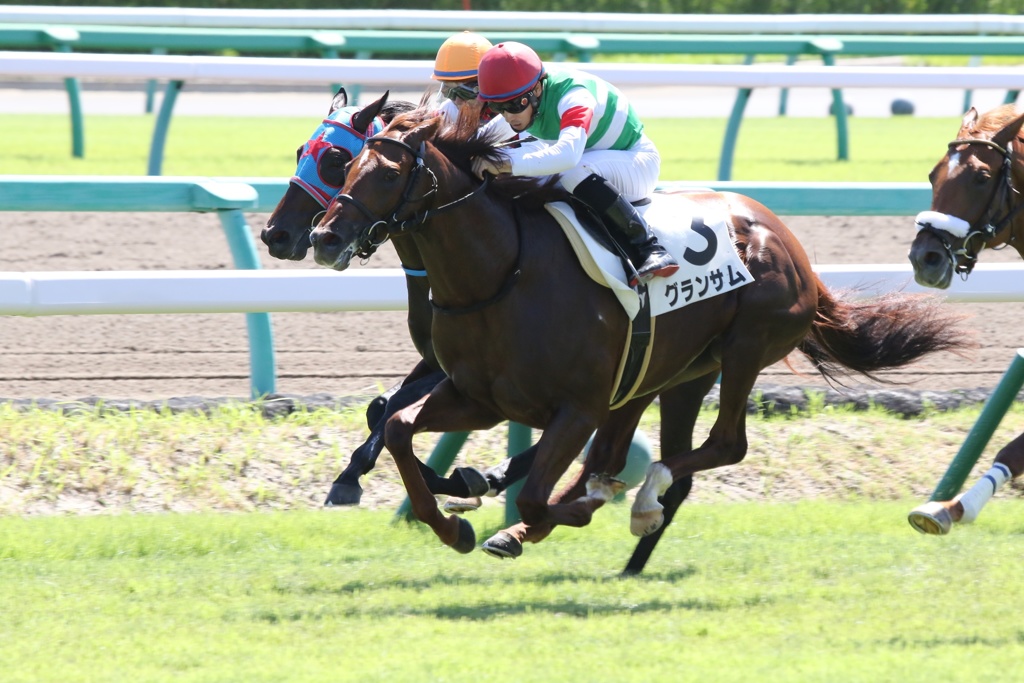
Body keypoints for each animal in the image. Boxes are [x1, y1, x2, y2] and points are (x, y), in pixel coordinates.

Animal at [307, 109, 962, 565]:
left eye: (389, 172)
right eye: (347, 167)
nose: (323, 237)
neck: (500, 274)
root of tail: (788, 241)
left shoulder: (577, 405)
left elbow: (539, 496)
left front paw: (539, 513)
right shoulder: (479, 397)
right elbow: (396, 427)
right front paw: (455, 524)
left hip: (744, 348)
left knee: (723, 446)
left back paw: (641, 503)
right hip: (672, 372)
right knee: (625, 455)